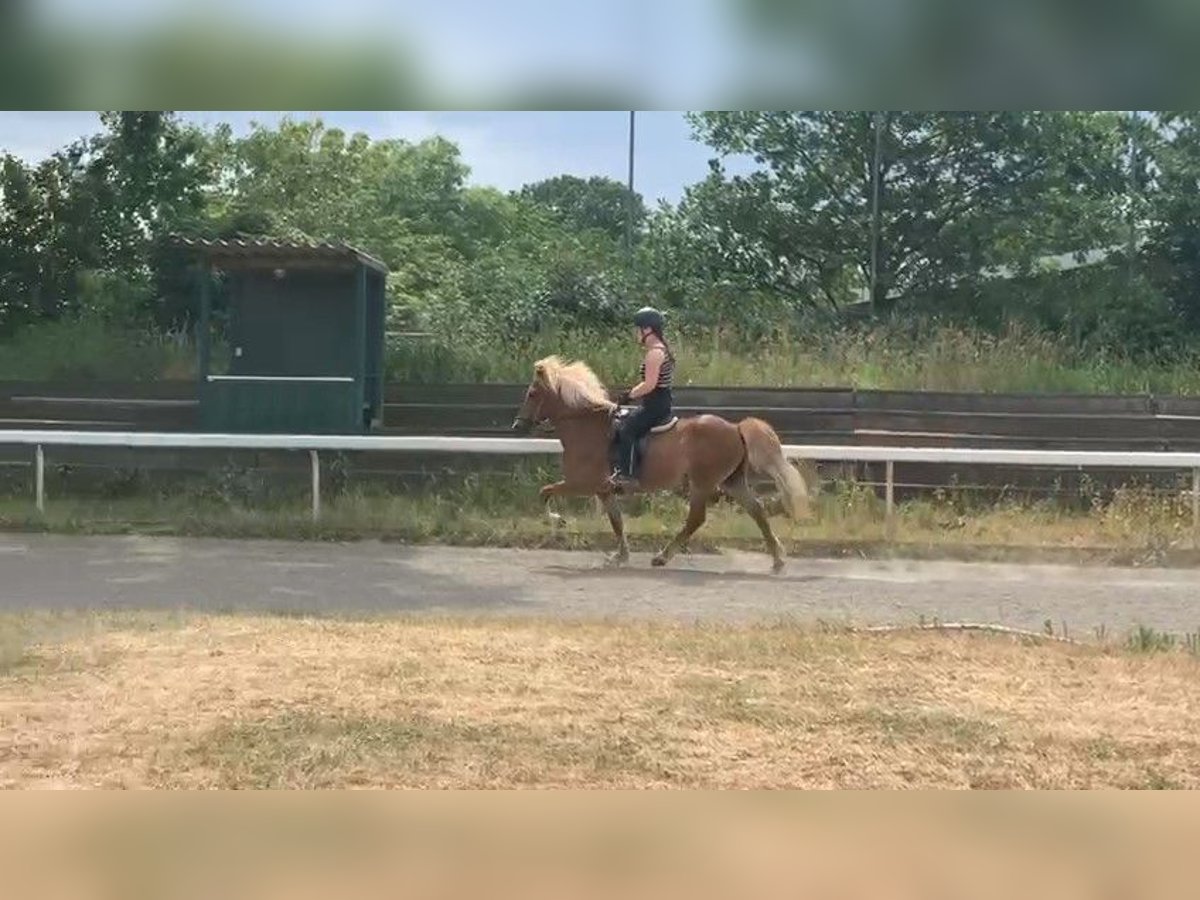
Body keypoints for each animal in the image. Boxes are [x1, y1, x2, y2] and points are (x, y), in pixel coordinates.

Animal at [508, 355, 816, 573]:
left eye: (532, 393)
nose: (517, 425)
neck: (587, 427)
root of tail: (735, 427)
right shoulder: (604, 490)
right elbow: (617, 522)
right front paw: (620, 556)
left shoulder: (581, 483)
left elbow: (545, 493)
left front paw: (558, 521)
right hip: (732, 481)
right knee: (757, 510)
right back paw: (777, 560)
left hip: (703, 482)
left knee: (696, 518)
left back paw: (662, 557)